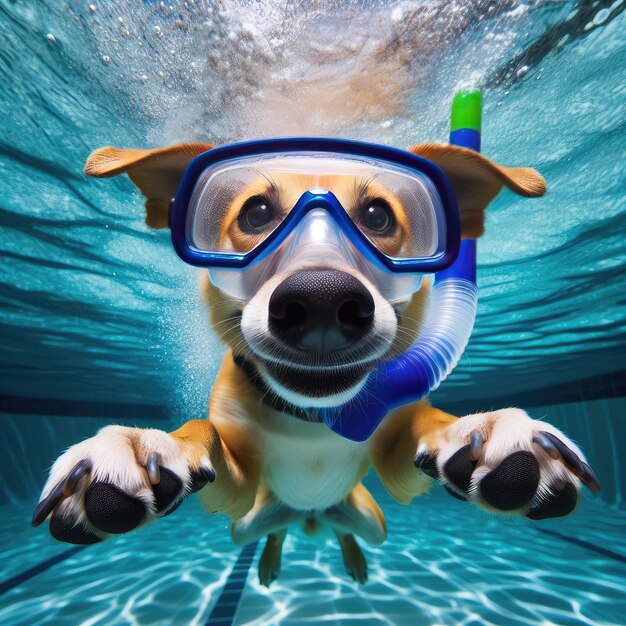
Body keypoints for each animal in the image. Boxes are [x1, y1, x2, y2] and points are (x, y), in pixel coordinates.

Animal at [33, 139, 596, 584]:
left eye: (378, 216)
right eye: (256, 213)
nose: (321, 299)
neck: (314, 419)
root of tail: (313, 513)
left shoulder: (397, 470)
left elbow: (431, 424)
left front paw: (483, 429)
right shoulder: (237, 491)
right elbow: (203, 433)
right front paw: (141, 445)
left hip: (374, 522)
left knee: (349, 533)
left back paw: (351, 559)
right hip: (246, 523)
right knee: (272, 532)